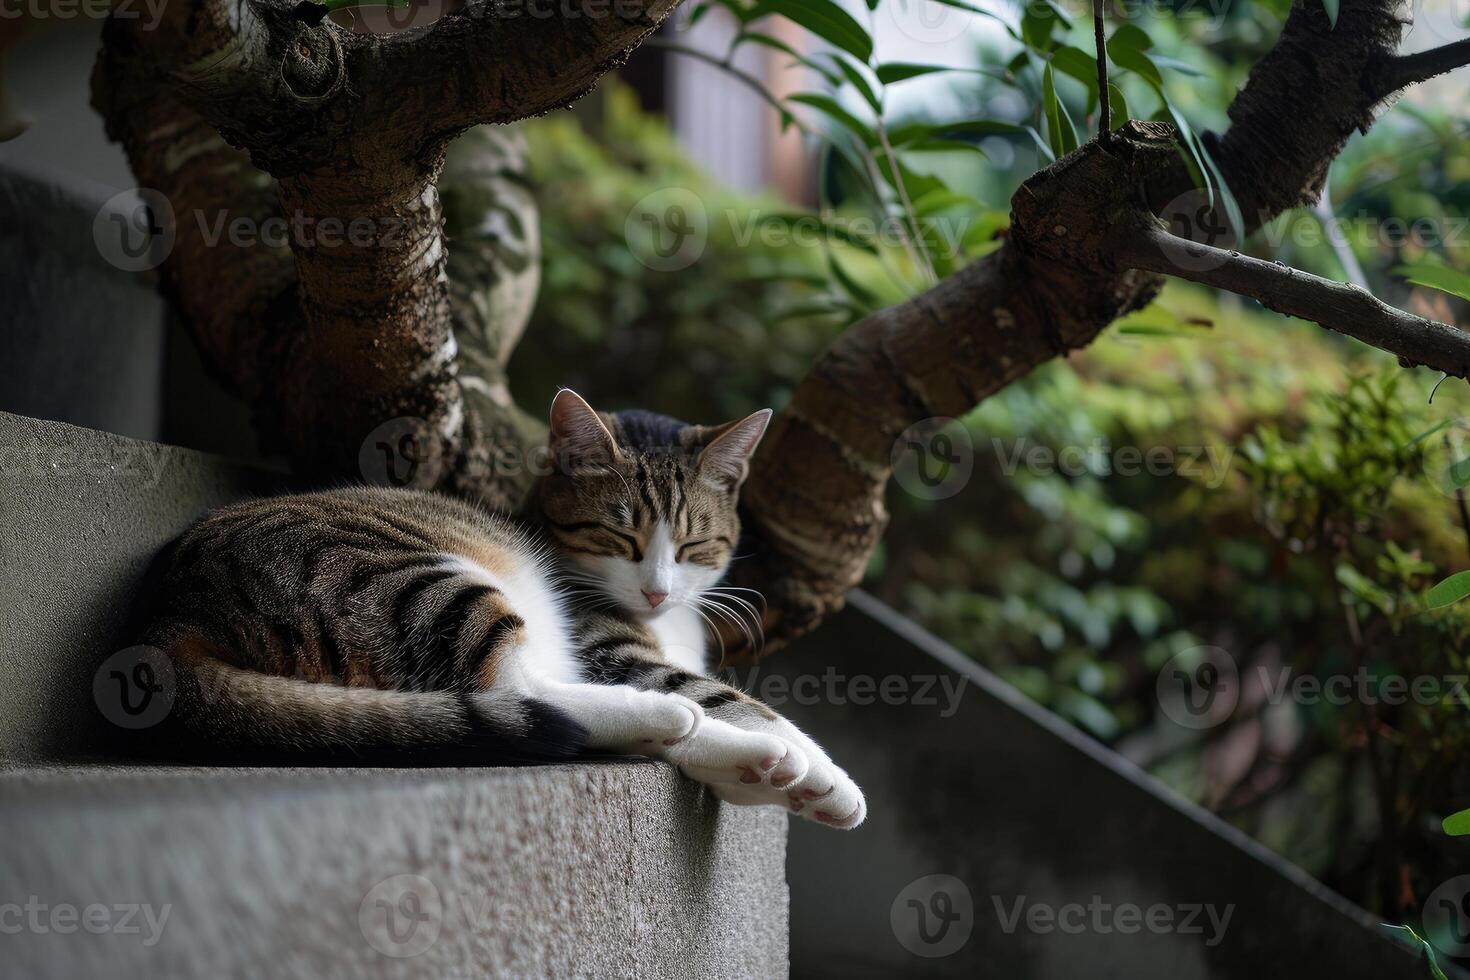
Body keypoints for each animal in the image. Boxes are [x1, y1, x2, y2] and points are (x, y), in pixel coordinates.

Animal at [140, 387, 858, 828]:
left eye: (693, 546)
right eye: (618, 537)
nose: (656, 589)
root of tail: (173, 615)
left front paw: (777, 779)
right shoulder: (607, 644)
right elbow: (731, 699)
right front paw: (820, 771)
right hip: (413, 583)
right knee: (520, 690)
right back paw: (663, 718)